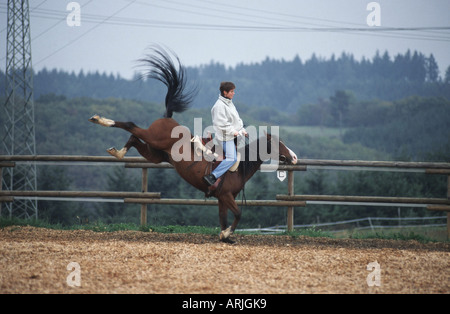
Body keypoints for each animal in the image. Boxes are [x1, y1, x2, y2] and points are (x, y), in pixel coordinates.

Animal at [89, 47, 298, 243]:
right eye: (278, 143)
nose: (294, 157)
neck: (238, 167)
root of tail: (168, 117)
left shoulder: (222, 198)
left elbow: (223, 218)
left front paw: (225, 236)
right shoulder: (227, 196)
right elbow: (238, 214)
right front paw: (227, 234)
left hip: (155, 154)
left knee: (133, 138)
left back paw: (117, 152)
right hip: (153, 138)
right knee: (131, 126)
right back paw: (100, 120)